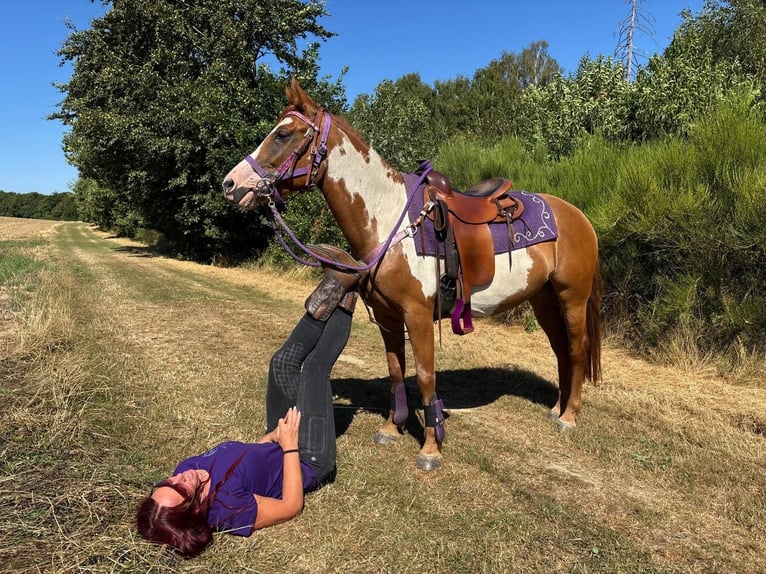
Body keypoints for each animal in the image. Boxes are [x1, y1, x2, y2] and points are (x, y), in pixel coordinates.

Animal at [222, 79, 602, 471]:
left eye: (282, 134)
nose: (230, 185)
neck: (389, 217)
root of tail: (578, 216)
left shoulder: (418, 316)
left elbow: (424, 376)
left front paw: (430, 449)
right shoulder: (389, 317)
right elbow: (395, 371)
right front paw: (391, 429)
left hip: (572, 297)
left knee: (576, 349)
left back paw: (569, 417)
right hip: (543, 300)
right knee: (560, 350)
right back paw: (556, 408)